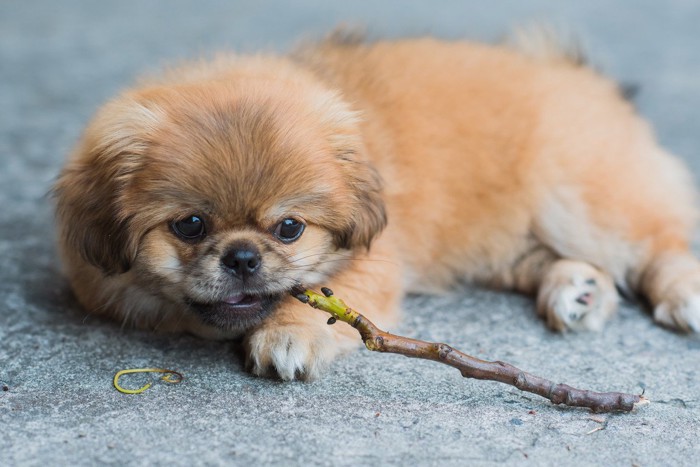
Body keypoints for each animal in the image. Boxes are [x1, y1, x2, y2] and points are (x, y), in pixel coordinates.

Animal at [53, 29, 700, 382]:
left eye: (289, 229)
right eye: (190, 226)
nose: (241, 258)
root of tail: (579, 75)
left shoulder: (377, 261)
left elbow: (335, 300)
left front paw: (289, 335)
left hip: (582, 198)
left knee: (662, 243)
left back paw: (682, 295)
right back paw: (578, 291)